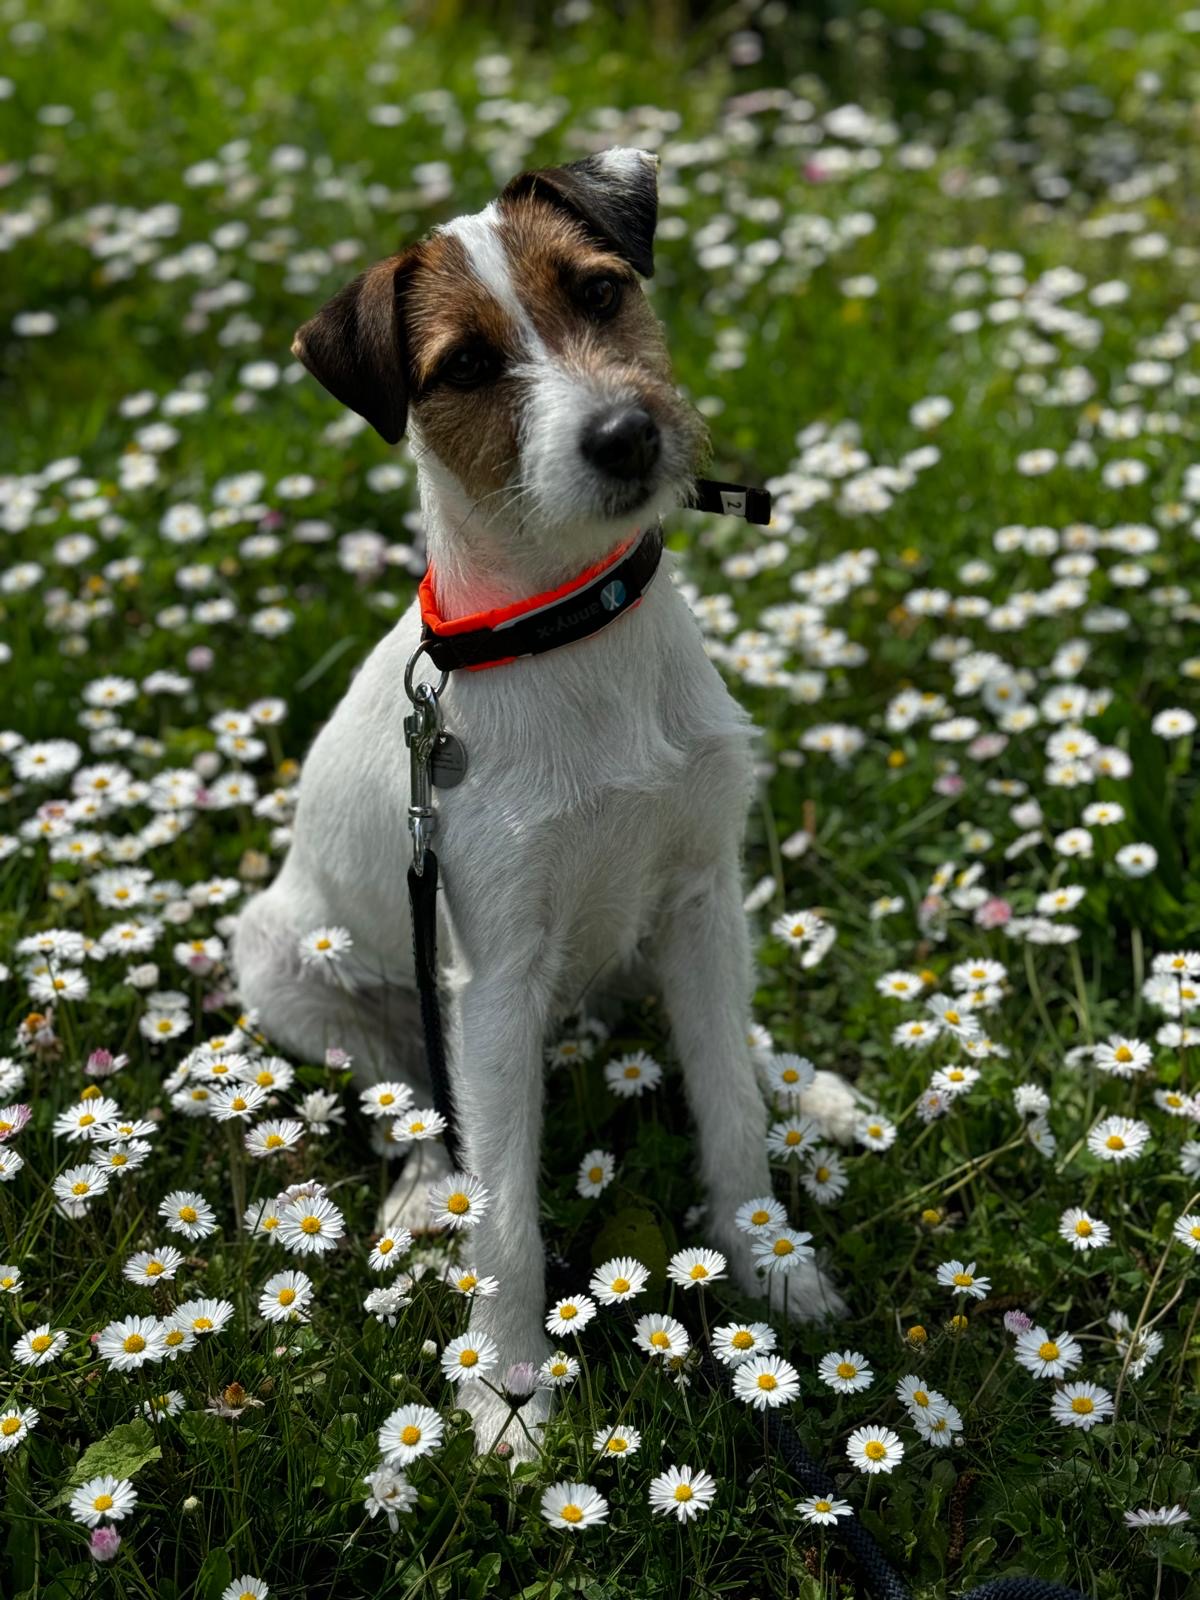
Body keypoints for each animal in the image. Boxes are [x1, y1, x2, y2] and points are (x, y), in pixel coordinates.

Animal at [233, 148, 848, 1456]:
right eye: (466, 367)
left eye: (603, 291)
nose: (624, 435)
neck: (571, 629)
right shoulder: (498, 972)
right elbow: (507, 1213)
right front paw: (507, 1395)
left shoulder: (703, 894)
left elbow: (728, 1110)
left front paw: (772, 1269)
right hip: (294, 970)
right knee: (410, 1097)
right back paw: (420, 1196)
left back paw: (804, 1084)